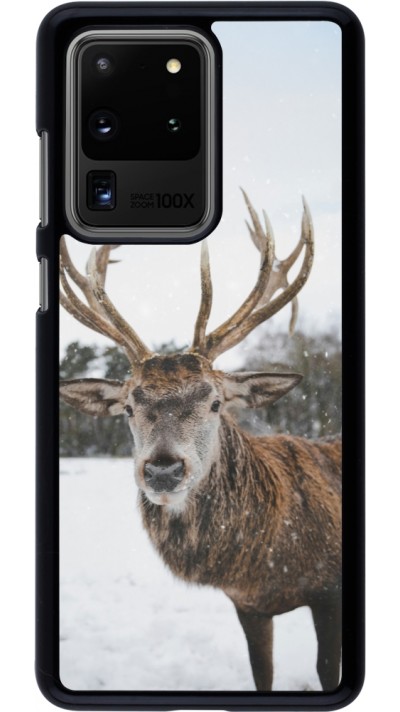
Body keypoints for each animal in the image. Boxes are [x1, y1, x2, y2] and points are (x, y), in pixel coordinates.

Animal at [59, 191, 342, 692]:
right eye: (128, 407)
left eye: (214, 402)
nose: (163, 469)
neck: (267, 564)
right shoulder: (248, 605)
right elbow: (262, 673)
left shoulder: (330, 591)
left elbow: (328, 670)